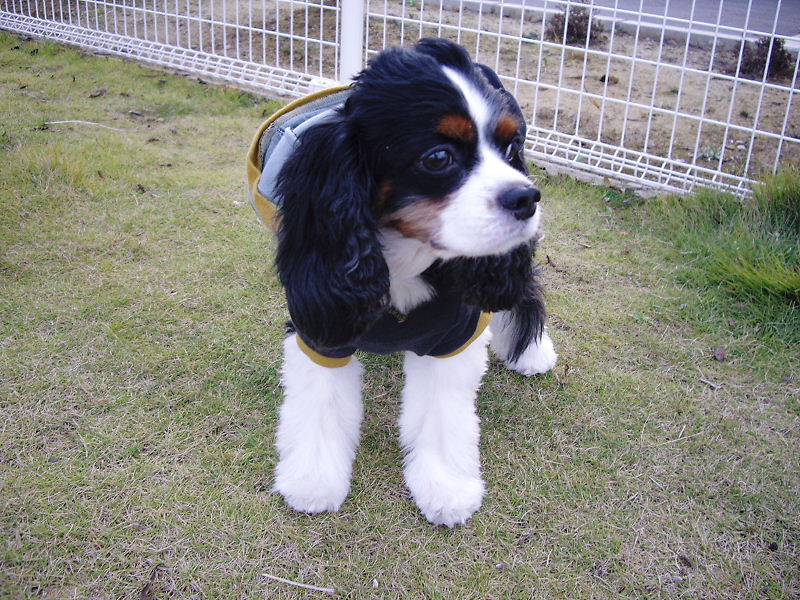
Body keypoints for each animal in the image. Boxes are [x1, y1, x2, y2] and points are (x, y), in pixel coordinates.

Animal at [249, 38, 558, 527]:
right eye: (438, 158)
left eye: (512, 148)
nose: (526, 197)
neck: (402, 256)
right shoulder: (319, 331)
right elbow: (318, 405)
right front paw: (313, 480)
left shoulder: (453, 339)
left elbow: (443, 414)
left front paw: (447, 488)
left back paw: (532, 351)